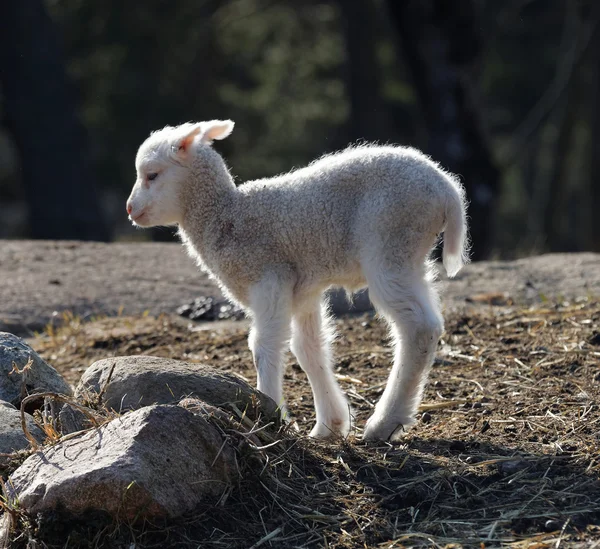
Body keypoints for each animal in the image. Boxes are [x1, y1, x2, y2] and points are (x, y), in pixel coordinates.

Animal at [126, 120, 472, 440]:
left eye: (151, 175)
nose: (130, 209)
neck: (225, 215)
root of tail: (447, 189)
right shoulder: (303, 288)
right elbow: (308, 348)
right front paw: (329, 425)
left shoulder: (269, 276)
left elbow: (264, 345)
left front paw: (268, 415)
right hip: (411, 256)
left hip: (390, 241)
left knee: (418, 328)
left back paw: (384, 424)